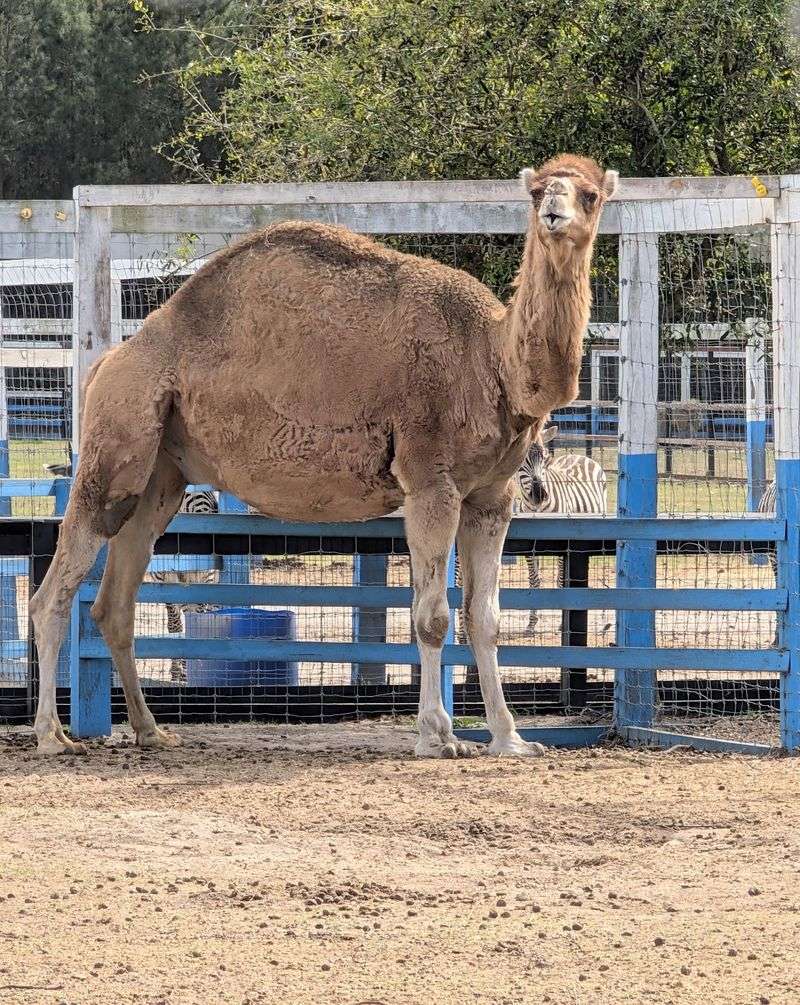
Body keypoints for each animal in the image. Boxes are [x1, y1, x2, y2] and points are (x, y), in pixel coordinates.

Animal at [30, 153, 617, 758]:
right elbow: (431, 616)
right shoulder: (430, 481)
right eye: (539, 192)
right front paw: (438, 736)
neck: (490, 362)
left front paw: (511, 738)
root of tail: (108, 362)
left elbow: (485, 618)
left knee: (114, 601)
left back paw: (151, 729)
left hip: (158, 476)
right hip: (115, 439)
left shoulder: (491, 496)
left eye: (590, 194)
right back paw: (53, 735)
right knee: (53, 593)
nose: (553, 214)